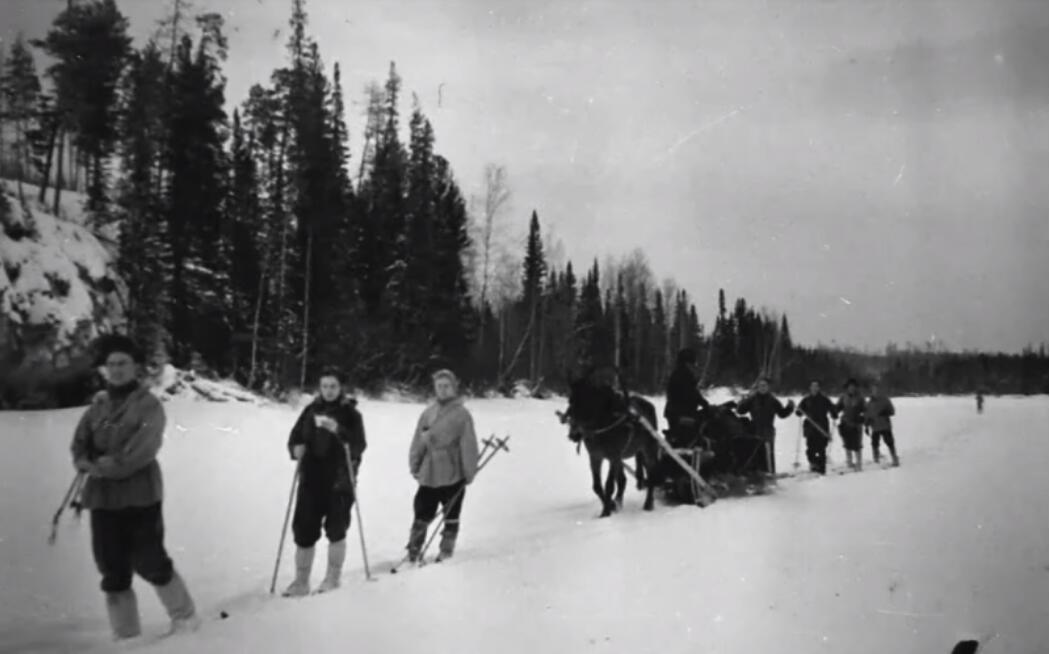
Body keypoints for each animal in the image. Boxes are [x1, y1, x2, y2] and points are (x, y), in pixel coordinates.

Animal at [562, 373, 659, 516]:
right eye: (570, 401)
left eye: (587, 401)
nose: (574, 434)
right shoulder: (595, 457)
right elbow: (597, 486)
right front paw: (611, 505)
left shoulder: (614, 456)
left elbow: (609, 485)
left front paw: (605, 512)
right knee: (624, 480)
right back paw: (620, 501)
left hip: (648, 449)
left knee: (652, 475)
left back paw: (648, 504)